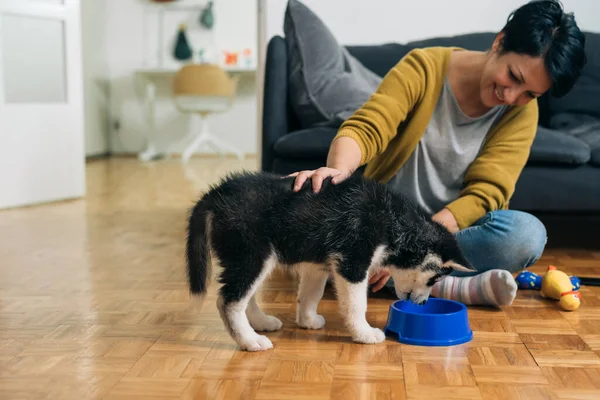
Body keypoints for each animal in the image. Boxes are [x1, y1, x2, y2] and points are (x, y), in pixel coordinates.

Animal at [185, 170, 472, 352]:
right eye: (435, 278)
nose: (422, 305)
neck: (394, 221)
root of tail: (216, 193)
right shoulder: (352, 263)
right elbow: (357, 305)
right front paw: (364, 333)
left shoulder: (319, 265)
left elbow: (310, 294)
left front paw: (307, 320)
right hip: (251, 254)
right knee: (229, 301)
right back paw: (249, 341)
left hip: (251, 259)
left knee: (246, 296)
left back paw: (261, 323)